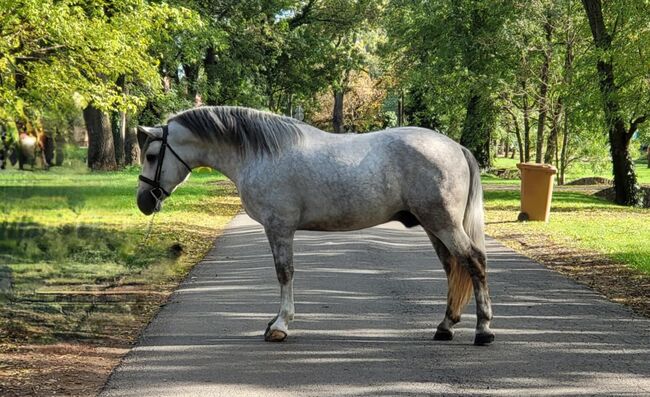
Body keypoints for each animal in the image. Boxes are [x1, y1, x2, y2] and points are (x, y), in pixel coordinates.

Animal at [137, 106, 492, 344]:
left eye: (152, 156)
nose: (143, 202)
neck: (260, 154)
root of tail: (455, 147)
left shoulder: (279, 227)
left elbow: (285, 273)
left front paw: (280, 325)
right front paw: (274, 322)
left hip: (443, 223)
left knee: (474, 260)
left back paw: (483, 329)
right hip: (434, 226)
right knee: (453, 267)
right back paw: (446, 326)